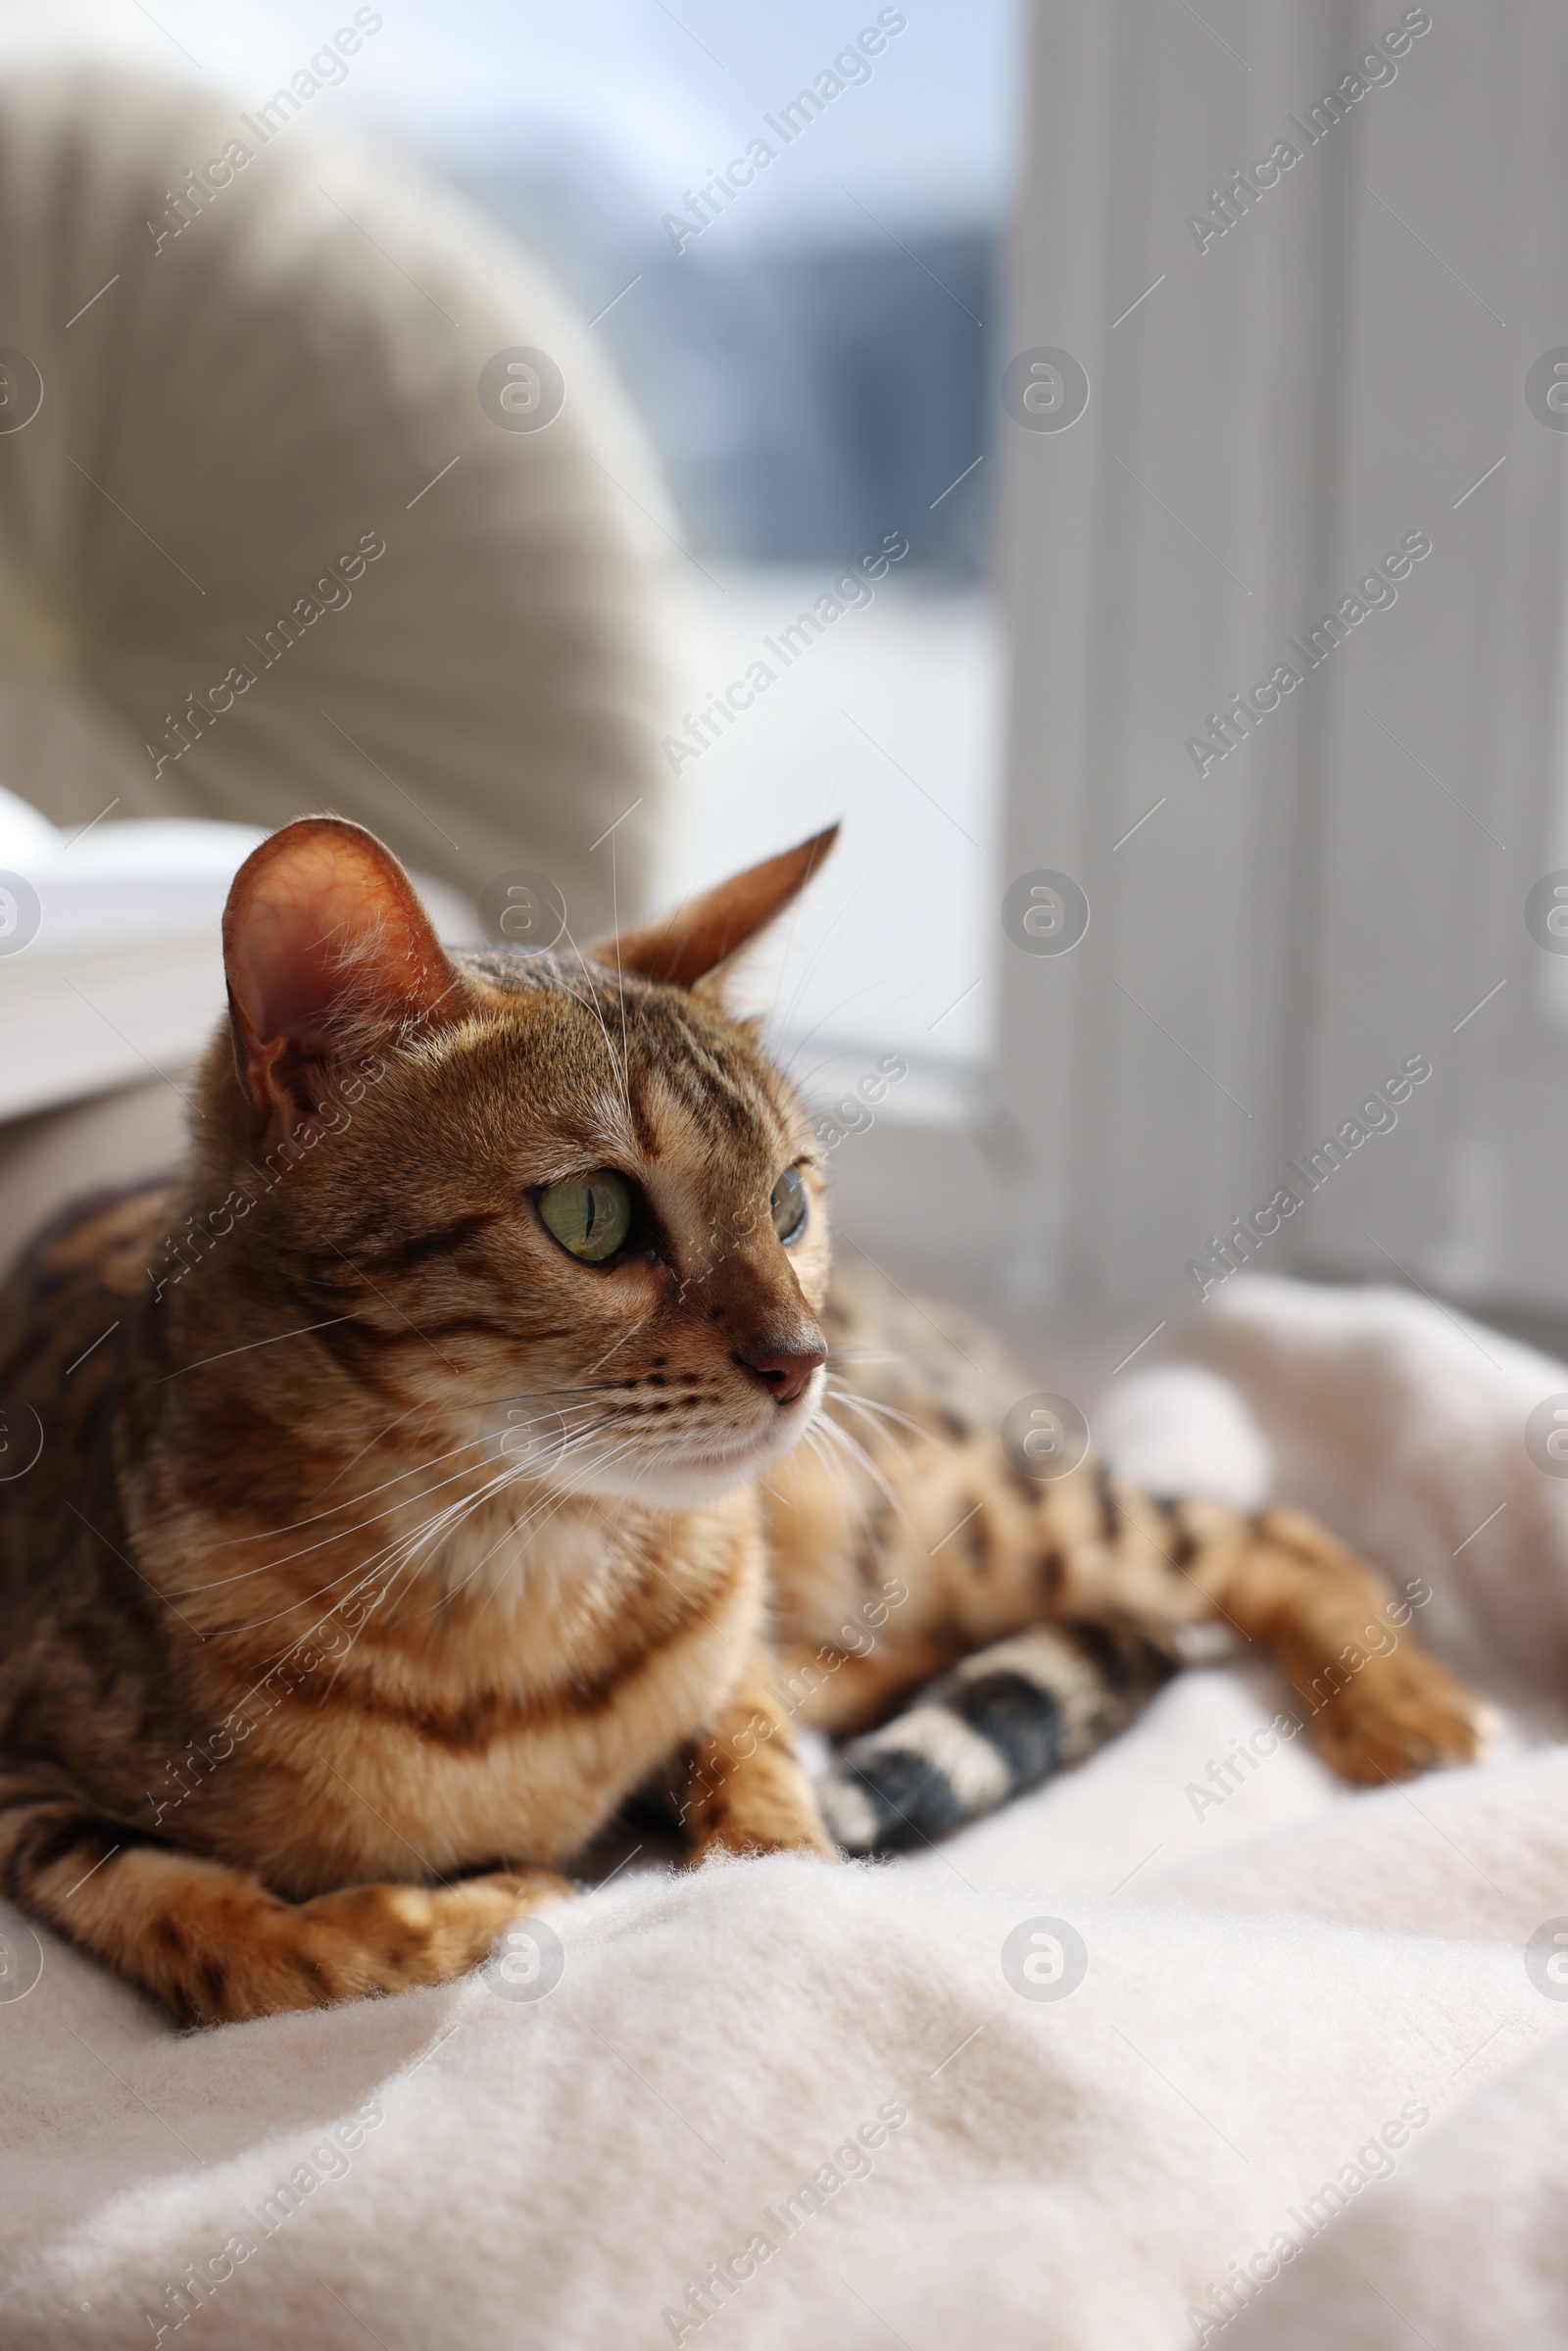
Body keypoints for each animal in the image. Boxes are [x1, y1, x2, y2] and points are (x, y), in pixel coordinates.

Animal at [0, 813, 1486, 2022]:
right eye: (590, 1213)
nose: (804, 1357)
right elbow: (227, 1936)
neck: (513, 1581)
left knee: (1257, 1530)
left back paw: (1414, 1712)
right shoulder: (24, 1785)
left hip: (934, 1506)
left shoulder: (737, 1641)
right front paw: (445, 1916)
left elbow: (756, 1771)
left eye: (786, 1197)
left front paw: (756, 1867)